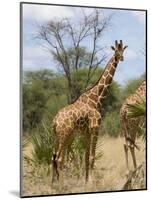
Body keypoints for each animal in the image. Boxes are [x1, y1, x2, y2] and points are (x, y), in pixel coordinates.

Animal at [51, 39, 127, 183]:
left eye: (123, 50)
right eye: (116, 50)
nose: (121, 58)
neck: (96, 98)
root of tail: (55, 120)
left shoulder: (86, 132)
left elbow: (86, 157)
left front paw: (86, 181)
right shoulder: (95, 128)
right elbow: (92, 156)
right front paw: (91, 181)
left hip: (60, 136)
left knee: (54, 157)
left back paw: (53, 183)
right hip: (65, 134)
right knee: (59, 158)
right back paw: (62, 183)